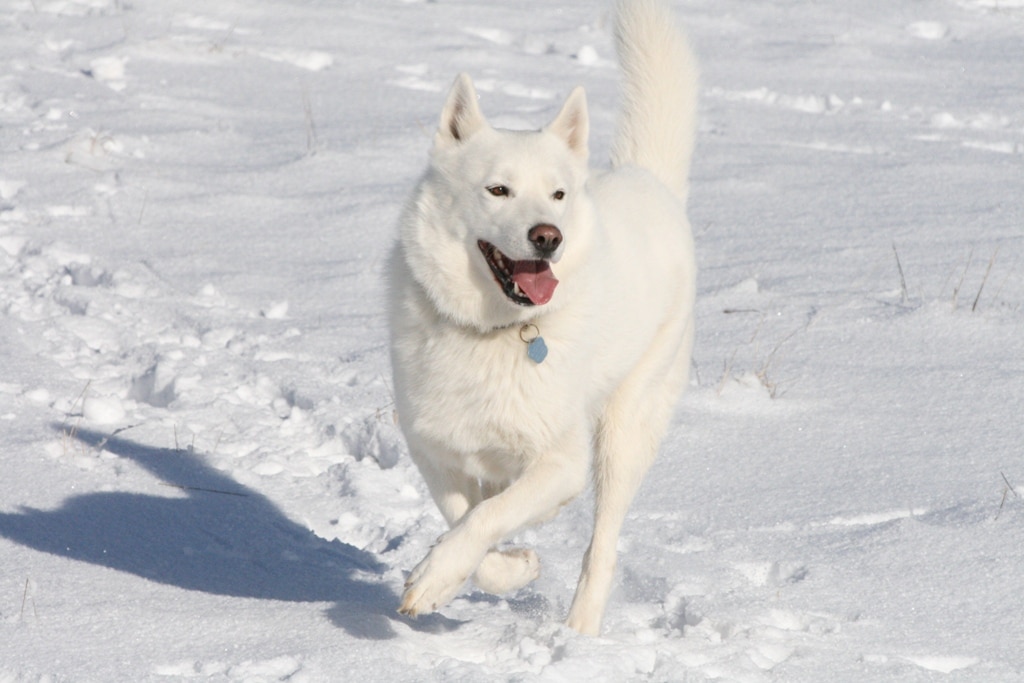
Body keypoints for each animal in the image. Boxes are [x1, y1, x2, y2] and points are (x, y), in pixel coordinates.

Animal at [387, 0, 700, 634]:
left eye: (557, 195)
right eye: (498, 190)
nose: (547, 237)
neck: (494, 333)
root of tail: (648, 180)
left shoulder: (561, 463)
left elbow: (486, 518)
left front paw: (438, 574)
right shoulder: (435, 450)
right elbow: (468, 522)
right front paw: (509, 568)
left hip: (625, 432)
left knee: (602, 546)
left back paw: (580, 632)